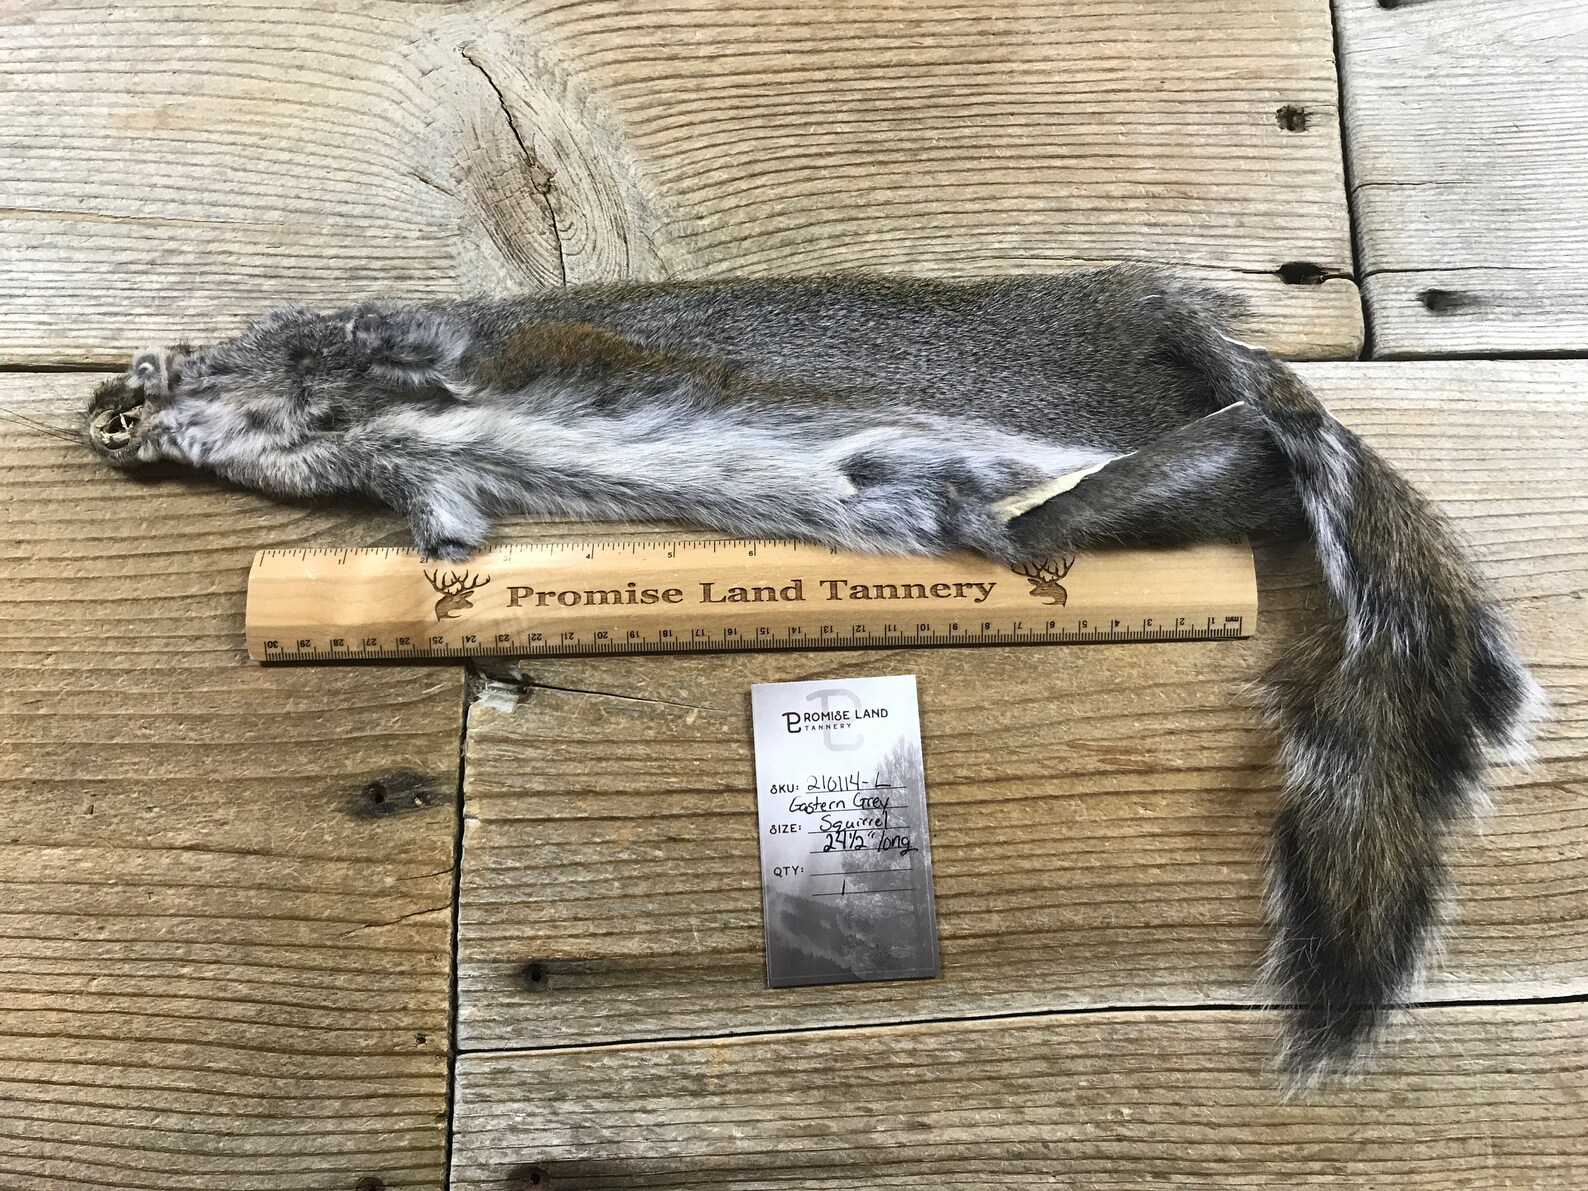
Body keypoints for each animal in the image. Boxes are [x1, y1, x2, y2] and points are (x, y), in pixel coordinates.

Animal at [84, 265, 1543, 1081]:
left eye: (180, 363)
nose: (104, 406)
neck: (350, 418)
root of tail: (1188, 338)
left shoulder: (431, 356)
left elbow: (424, 350)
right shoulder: (429, 473)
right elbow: (450, 515)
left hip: (1137, 406)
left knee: (1257, 442)